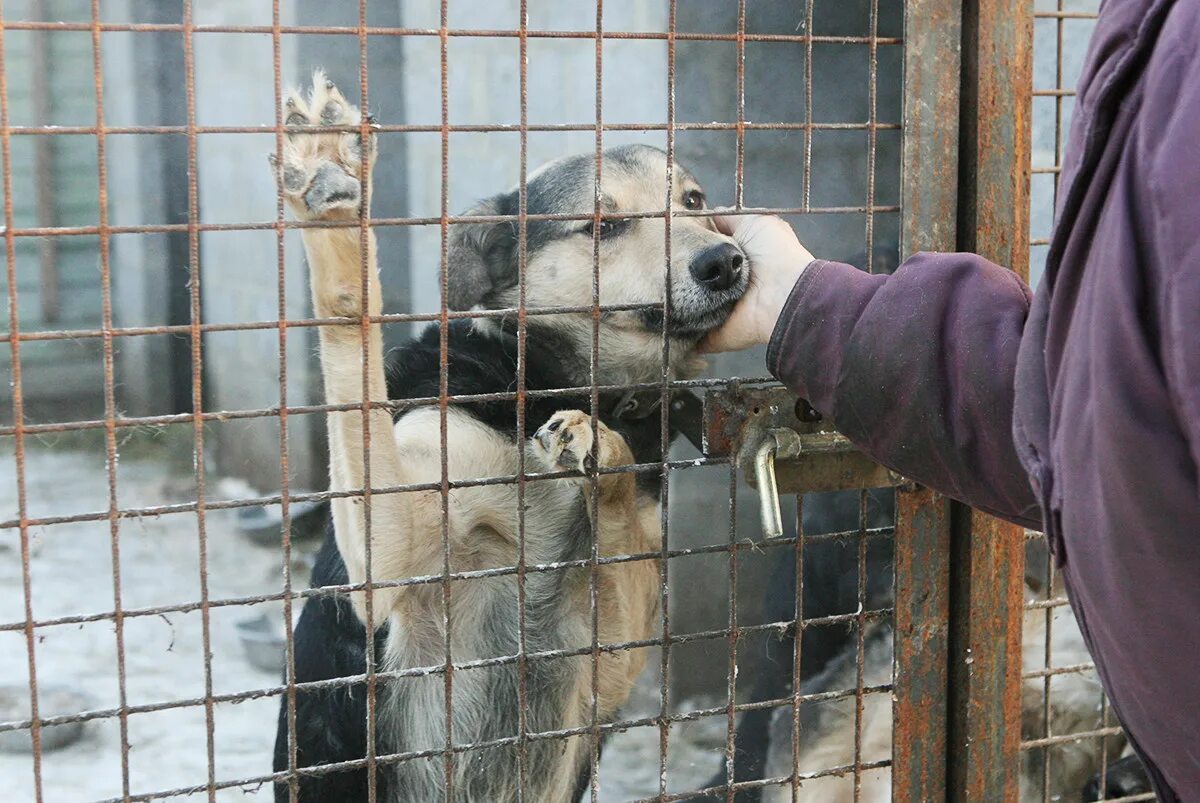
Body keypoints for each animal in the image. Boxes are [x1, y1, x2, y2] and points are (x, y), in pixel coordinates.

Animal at [267, 72, 744, 796]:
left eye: (693, 202)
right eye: (604, 225)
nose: (726, 260)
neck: (550, 379)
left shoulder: (619, 647)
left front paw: (603, 452)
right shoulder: (389, 551)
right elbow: (355, 337)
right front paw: (336, 210)